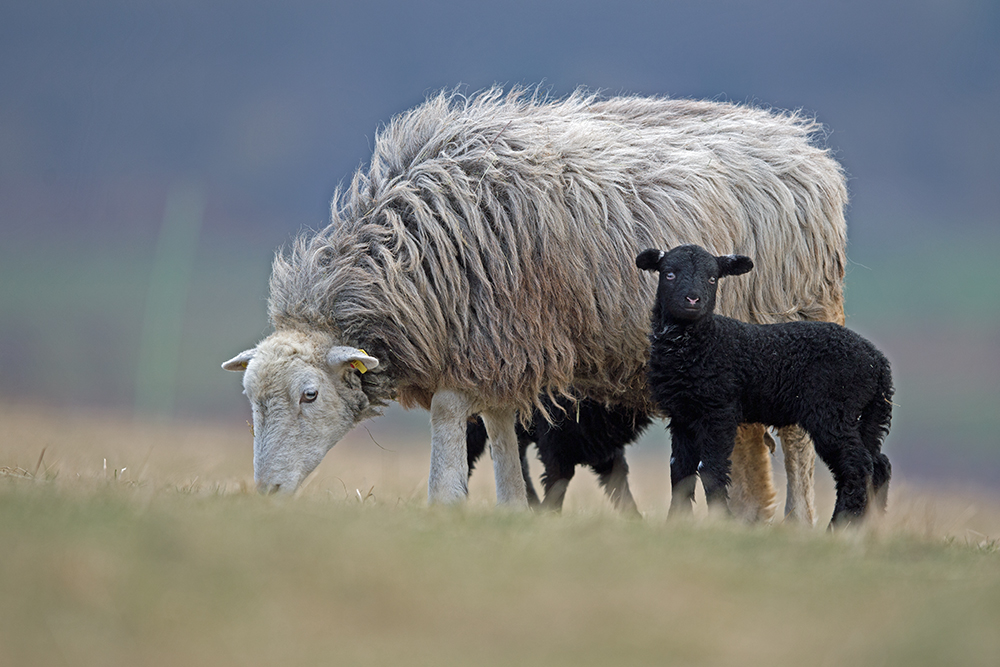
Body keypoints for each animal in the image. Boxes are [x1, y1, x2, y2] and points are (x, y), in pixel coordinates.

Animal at [466, 396, 652, 516]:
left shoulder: (600, 444)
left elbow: (618, 480)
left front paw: (635, 521)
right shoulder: (555, 440)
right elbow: (559, 480)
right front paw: (549, 515)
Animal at [636, 245, 896, 528]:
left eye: (712, 278)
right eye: (669, 274)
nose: (693, 300)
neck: (700, 344)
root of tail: (878, 363)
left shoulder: (719, 409)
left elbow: (711, 468)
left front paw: (721, 520)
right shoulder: (682, 414)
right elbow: (679, 470)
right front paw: (675, 521)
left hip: (833, 411)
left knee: (857, 466)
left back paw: (839, 527)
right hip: (866, 415)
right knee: (878, 464)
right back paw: (869, 525)